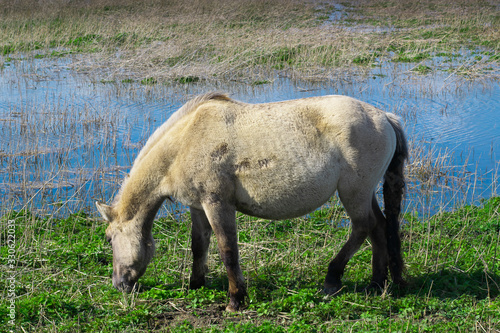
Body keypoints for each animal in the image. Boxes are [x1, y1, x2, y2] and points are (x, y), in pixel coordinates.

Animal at [95, 91, 408, 312]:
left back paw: (333, 279)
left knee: (362, 227)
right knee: (379, 227)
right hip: (365, 193)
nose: (118, 285)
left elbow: (227, 250)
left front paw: (236, 299)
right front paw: (195, 285)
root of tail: (384, 117)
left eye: (109, 239)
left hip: (354, 192)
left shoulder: (217, 203)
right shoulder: (198, 206)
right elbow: (199, 246)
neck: (184, 142)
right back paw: (377, 283)